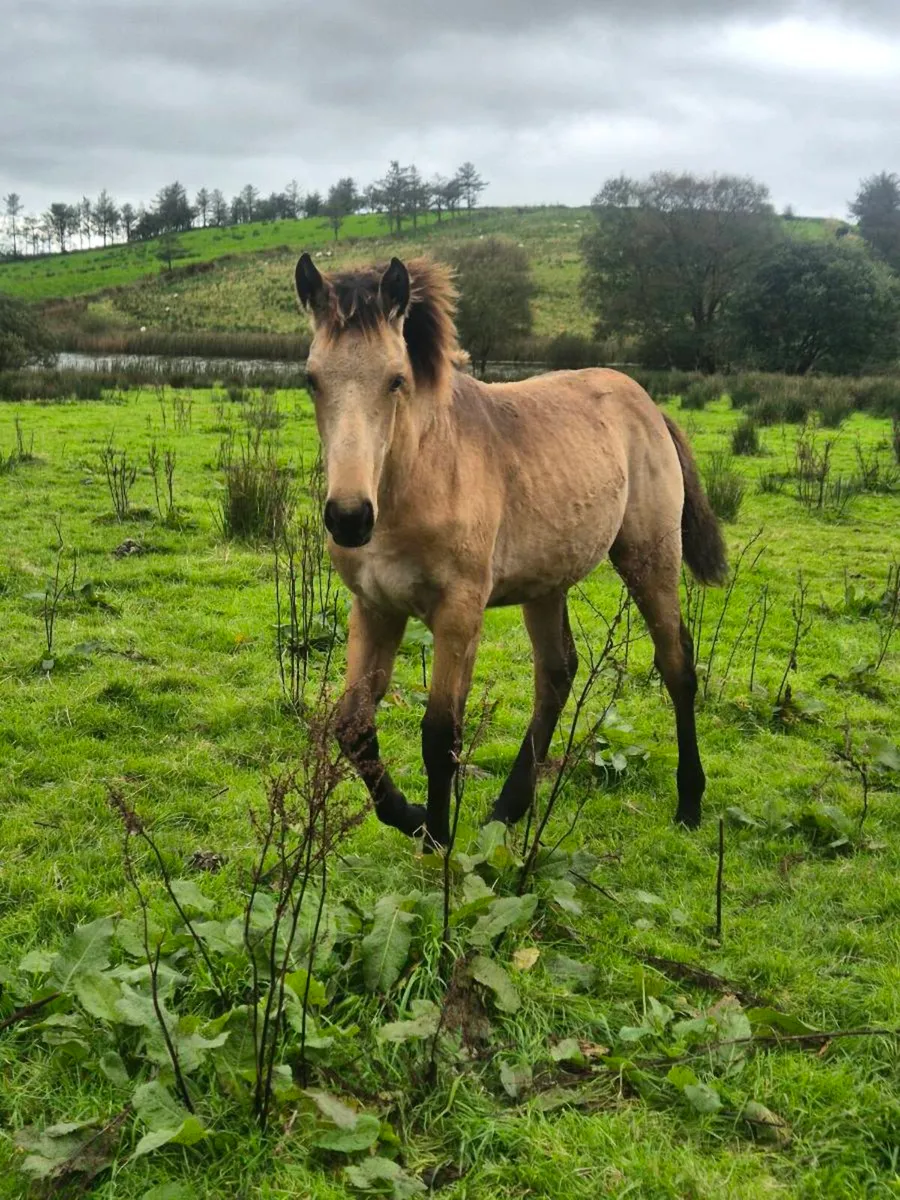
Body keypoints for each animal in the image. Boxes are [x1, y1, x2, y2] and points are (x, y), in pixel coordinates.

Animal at [293, 251, 728, 848]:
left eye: (396, 379)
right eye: (312, 380)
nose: (349, 517)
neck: (419, 478)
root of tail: (647, 405)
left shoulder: (459, 614)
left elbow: (440, 734)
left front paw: (436, 839)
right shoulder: (375, 606)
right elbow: (353, 726)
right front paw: (412, 816)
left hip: (649, 558)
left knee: (676, 664)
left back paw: (689, 802)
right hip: (545, 583)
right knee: (558, 672)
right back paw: (507, 808)